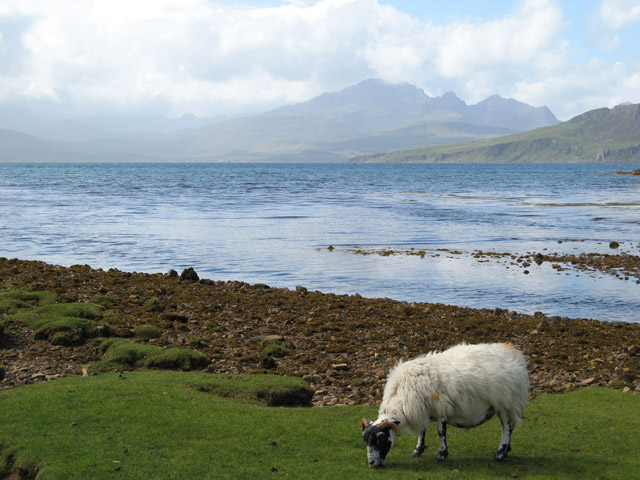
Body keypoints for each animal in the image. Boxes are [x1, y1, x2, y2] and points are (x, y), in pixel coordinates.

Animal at [360, 344, 528, 466]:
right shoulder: (424, 409)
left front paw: (441, 454)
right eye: (366, 440)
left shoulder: (441, 408)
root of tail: (516, 354)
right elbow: (422, 431)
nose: (372, 463)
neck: (402, 396)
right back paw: (507, 450)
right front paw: (418, 450)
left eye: (381, 439)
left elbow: (441, 432)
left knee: (506, 427)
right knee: (511, 425)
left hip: (505, 402)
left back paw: (500, 453)